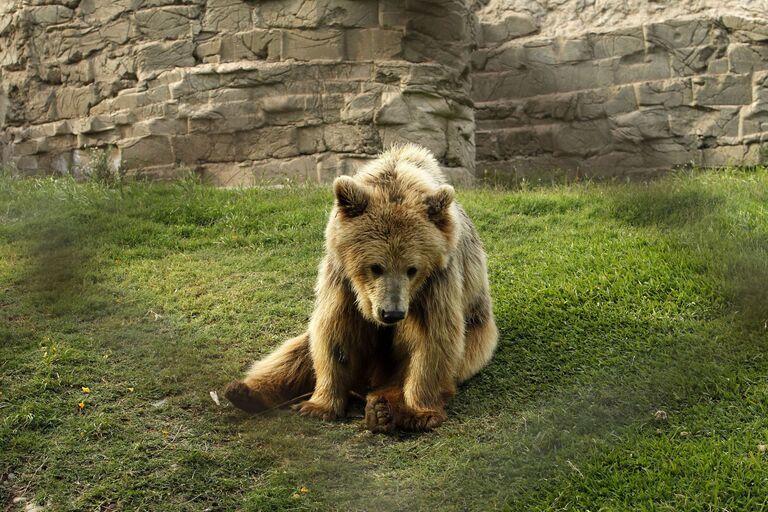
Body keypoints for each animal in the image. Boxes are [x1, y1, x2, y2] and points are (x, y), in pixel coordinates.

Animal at [224, 144, 498, 432]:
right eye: (375, 266)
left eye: (412, 269)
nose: (392, 313)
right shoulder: (342, 280)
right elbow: (333, 334)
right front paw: (318, 406)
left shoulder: (436, 282)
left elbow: (432, 338)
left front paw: (420, 412)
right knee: (296, 351)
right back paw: (245, 392)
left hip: (477, 333)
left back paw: (383, 410)